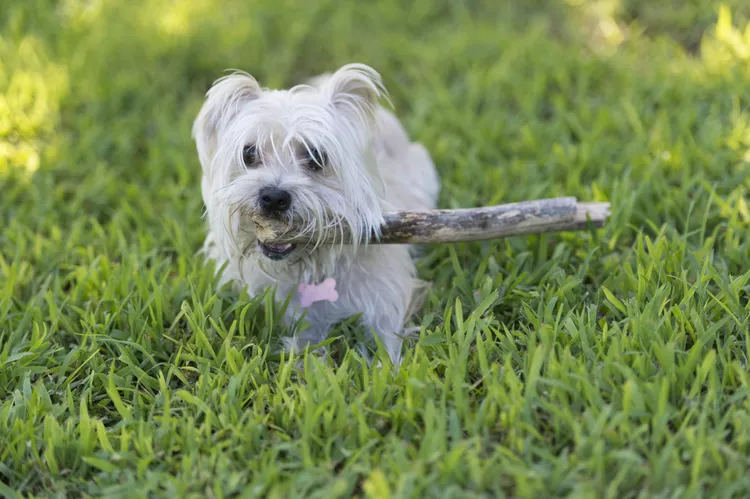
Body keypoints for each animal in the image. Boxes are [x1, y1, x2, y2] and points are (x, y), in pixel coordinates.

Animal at [192, 63, 440, 368]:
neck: (313, 265)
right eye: (249, 153)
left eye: (316, 157)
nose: (273, 198)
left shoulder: (386, 302)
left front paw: (388, 369)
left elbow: (389, 345)